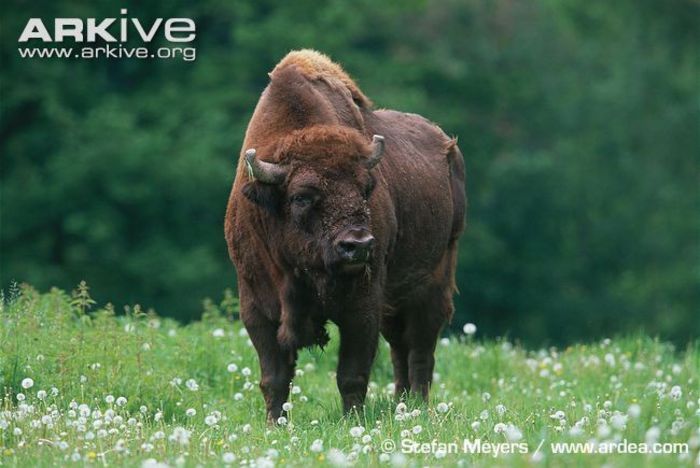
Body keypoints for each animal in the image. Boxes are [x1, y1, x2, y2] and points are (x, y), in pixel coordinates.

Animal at [226, 49, 464, 422]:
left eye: (366, 189)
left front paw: (353, 420)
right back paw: (402, 404)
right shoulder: (256, 307)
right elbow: (274, 376)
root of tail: (449, 150)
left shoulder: (362, 306)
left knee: (420, 350)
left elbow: (352, 373)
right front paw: (275, 423)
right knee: (400, 347)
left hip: (433, 285)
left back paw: (417, 406)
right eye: (301, 197)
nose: (359, 246)